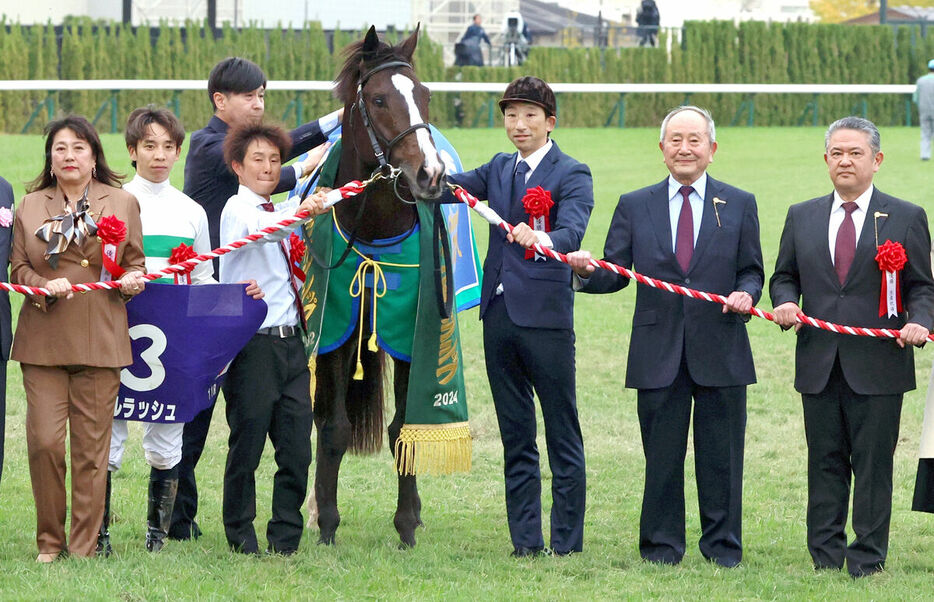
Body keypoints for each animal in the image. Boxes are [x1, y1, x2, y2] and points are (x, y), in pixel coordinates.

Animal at [308, 25, 448, 548]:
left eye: (424, 95)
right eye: (380, 98)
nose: (431, 174)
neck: (373, 231)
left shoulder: (410, 331)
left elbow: (404, 428)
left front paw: (407, 522)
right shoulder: (336, 330)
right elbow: (334, 429)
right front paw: (327, 522)